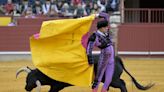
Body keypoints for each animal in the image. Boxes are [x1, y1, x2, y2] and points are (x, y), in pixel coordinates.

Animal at [15, 55, 154, 91]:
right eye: (26, 79)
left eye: (30, 81)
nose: (26, 88)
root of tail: (116, 57)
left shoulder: (57, 86)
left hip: (112, 79)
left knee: (122, 84)